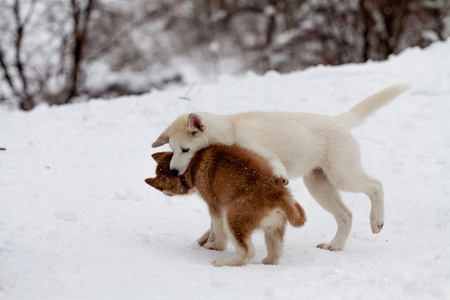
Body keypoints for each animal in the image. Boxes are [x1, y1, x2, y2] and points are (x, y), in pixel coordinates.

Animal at [145, 144, 306, 266]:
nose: (164, 193)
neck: (192, 165)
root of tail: (277, 192)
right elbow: (212, 228)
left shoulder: (215, 206)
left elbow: (217, 228)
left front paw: (215, 245)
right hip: (274, 228)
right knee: (277, 251)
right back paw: (268, 262)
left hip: (233, 218)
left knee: (247, 251)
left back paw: (223, 262)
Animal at [154, 85, 412, 251]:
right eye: (173, 149)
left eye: (186, 149)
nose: (175, 171)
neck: (230, 130)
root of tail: (340, 120)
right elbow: (214, 221)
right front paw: (206, 239)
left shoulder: (260, 151)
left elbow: (274, 163)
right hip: (318, 185)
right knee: (346, 215)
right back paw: (335, 245)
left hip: (343, 175)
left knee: (375, 186)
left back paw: (377, 222)